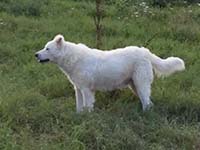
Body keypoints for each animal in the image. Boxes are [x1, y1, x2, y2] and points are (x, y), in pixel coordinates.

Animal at [34, 34, 184, 112]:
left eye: (47, 49)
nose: (35, 54)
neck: (72, 58)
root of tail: (146, 52)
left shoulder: (87, 90)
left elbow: (87, 107)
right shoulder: (78, 89)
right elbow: (79, 108)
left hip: (141, 85)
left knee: (147, 103)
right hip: (135, 86)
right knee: (149, 103)